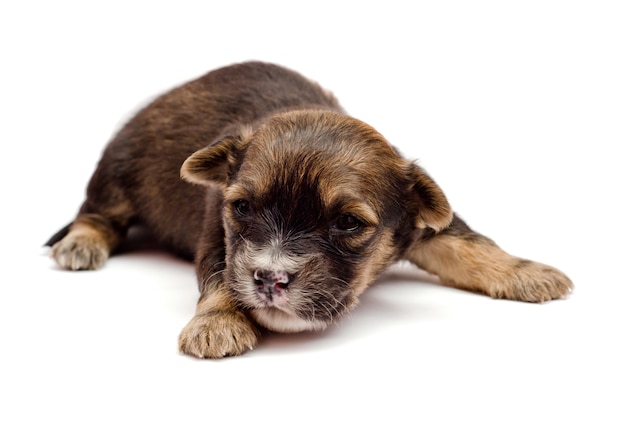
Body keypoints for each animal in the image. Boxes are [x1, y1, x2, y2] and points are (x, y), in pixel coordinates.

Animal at [46, 60, 572, 360]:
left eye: (348, 223)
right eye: (243, 207)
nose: (270, 280)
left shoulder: (421, 224)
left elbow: (470, 243)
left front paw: (530, 273)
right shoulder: (218, 231)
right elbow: (219, 275)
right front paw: (217, 323)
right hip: (117, 171)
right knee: (97, 213)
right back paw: (80, 244)